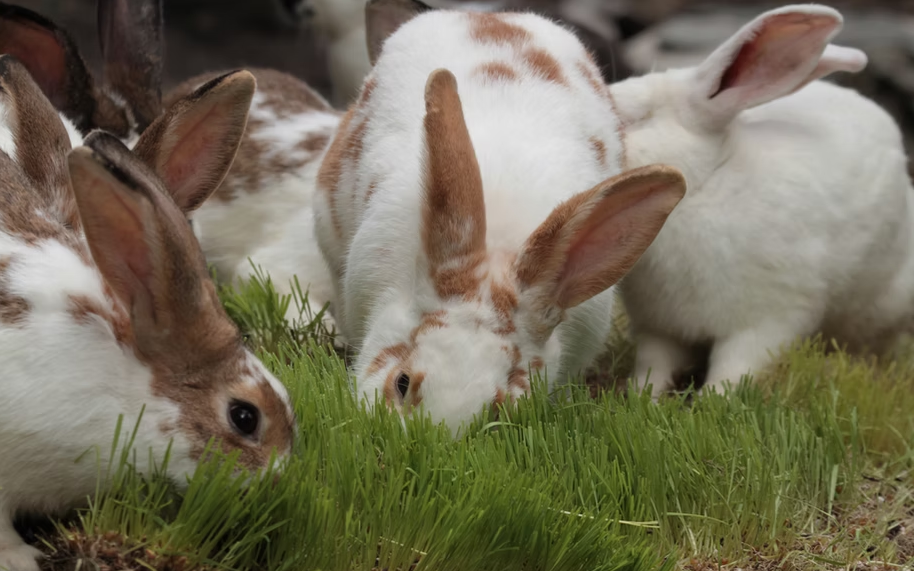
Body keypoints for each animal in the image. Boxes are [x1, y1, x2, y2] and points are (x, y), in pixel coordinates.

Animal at [605, 5, 912, 398]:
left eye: (634, 118)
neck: (702, 186)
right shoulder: (660, 329)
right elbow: (653, 367)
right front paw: (642, 398)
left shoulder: (764, 323)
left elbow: (731, 371)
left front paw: (710, 402)